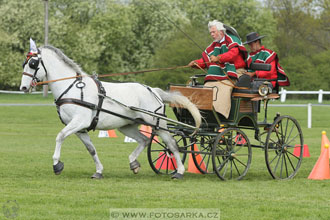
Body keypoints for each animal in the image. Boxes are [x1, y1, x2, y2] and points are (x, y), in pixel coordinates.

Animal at [20, 42, 201, 179]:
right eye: (25, 63)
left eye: (33, 64)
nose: (23, 88)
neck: (72, 87)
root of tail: (153, 90)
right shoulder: (79, 129)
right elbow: (91, 149)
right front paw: (99, 171)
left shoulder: (79, 121)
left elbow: (60, 136)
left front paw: (57, 164)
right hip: (127, 126)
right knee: (144, 140)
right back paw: (133, 163)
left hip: (158, 124)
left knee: (171, 144)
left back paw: (179, 172)